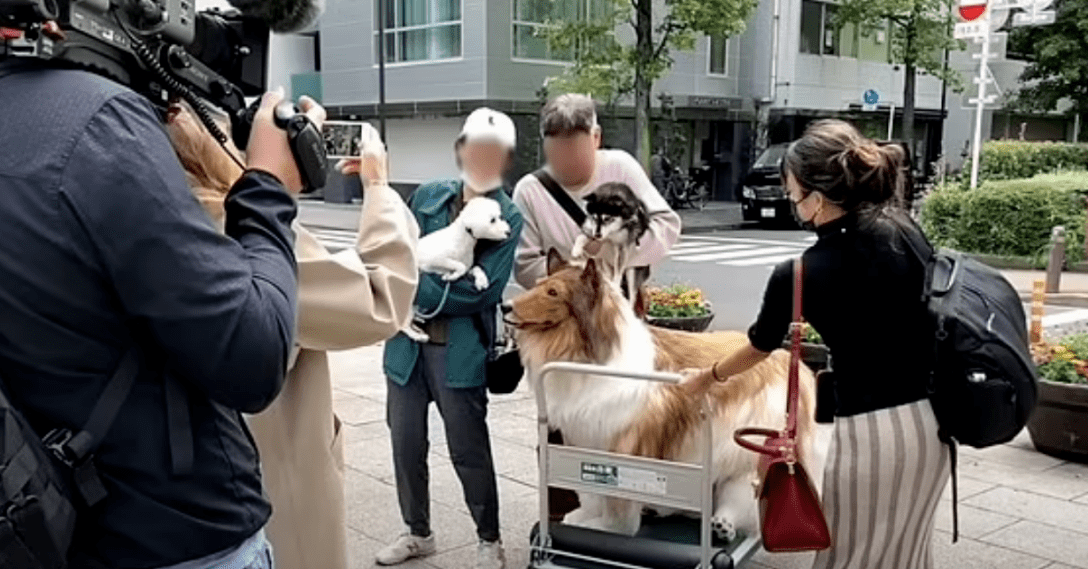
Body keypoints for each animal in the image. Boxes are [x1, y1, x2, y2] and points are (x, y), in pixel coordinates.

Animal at [404, 196, 513, 339]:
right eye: (492, 220)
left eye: (500, 217)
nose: (509, 232)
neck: (463, 239)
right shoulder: (433, 259)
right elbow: (458, 265)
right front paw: (451, 275)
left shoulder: (468, 267)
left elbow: (476, 268)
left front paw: (481, 281)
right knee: (402, 326)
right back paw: (417, 335)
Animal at [507, 250, 822, 543]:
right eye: (539, 284)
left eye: (553, 293)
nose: (504, 305)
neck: (591, 356)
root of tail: (786, 357)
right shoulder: (585, 439)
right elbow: (591, 493)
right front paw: (584, 517)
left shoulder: (626, 445)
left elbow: (618, 508)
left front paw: (607, 529)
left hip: (745, 448)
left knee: (741, 496)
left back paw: (723, 524)